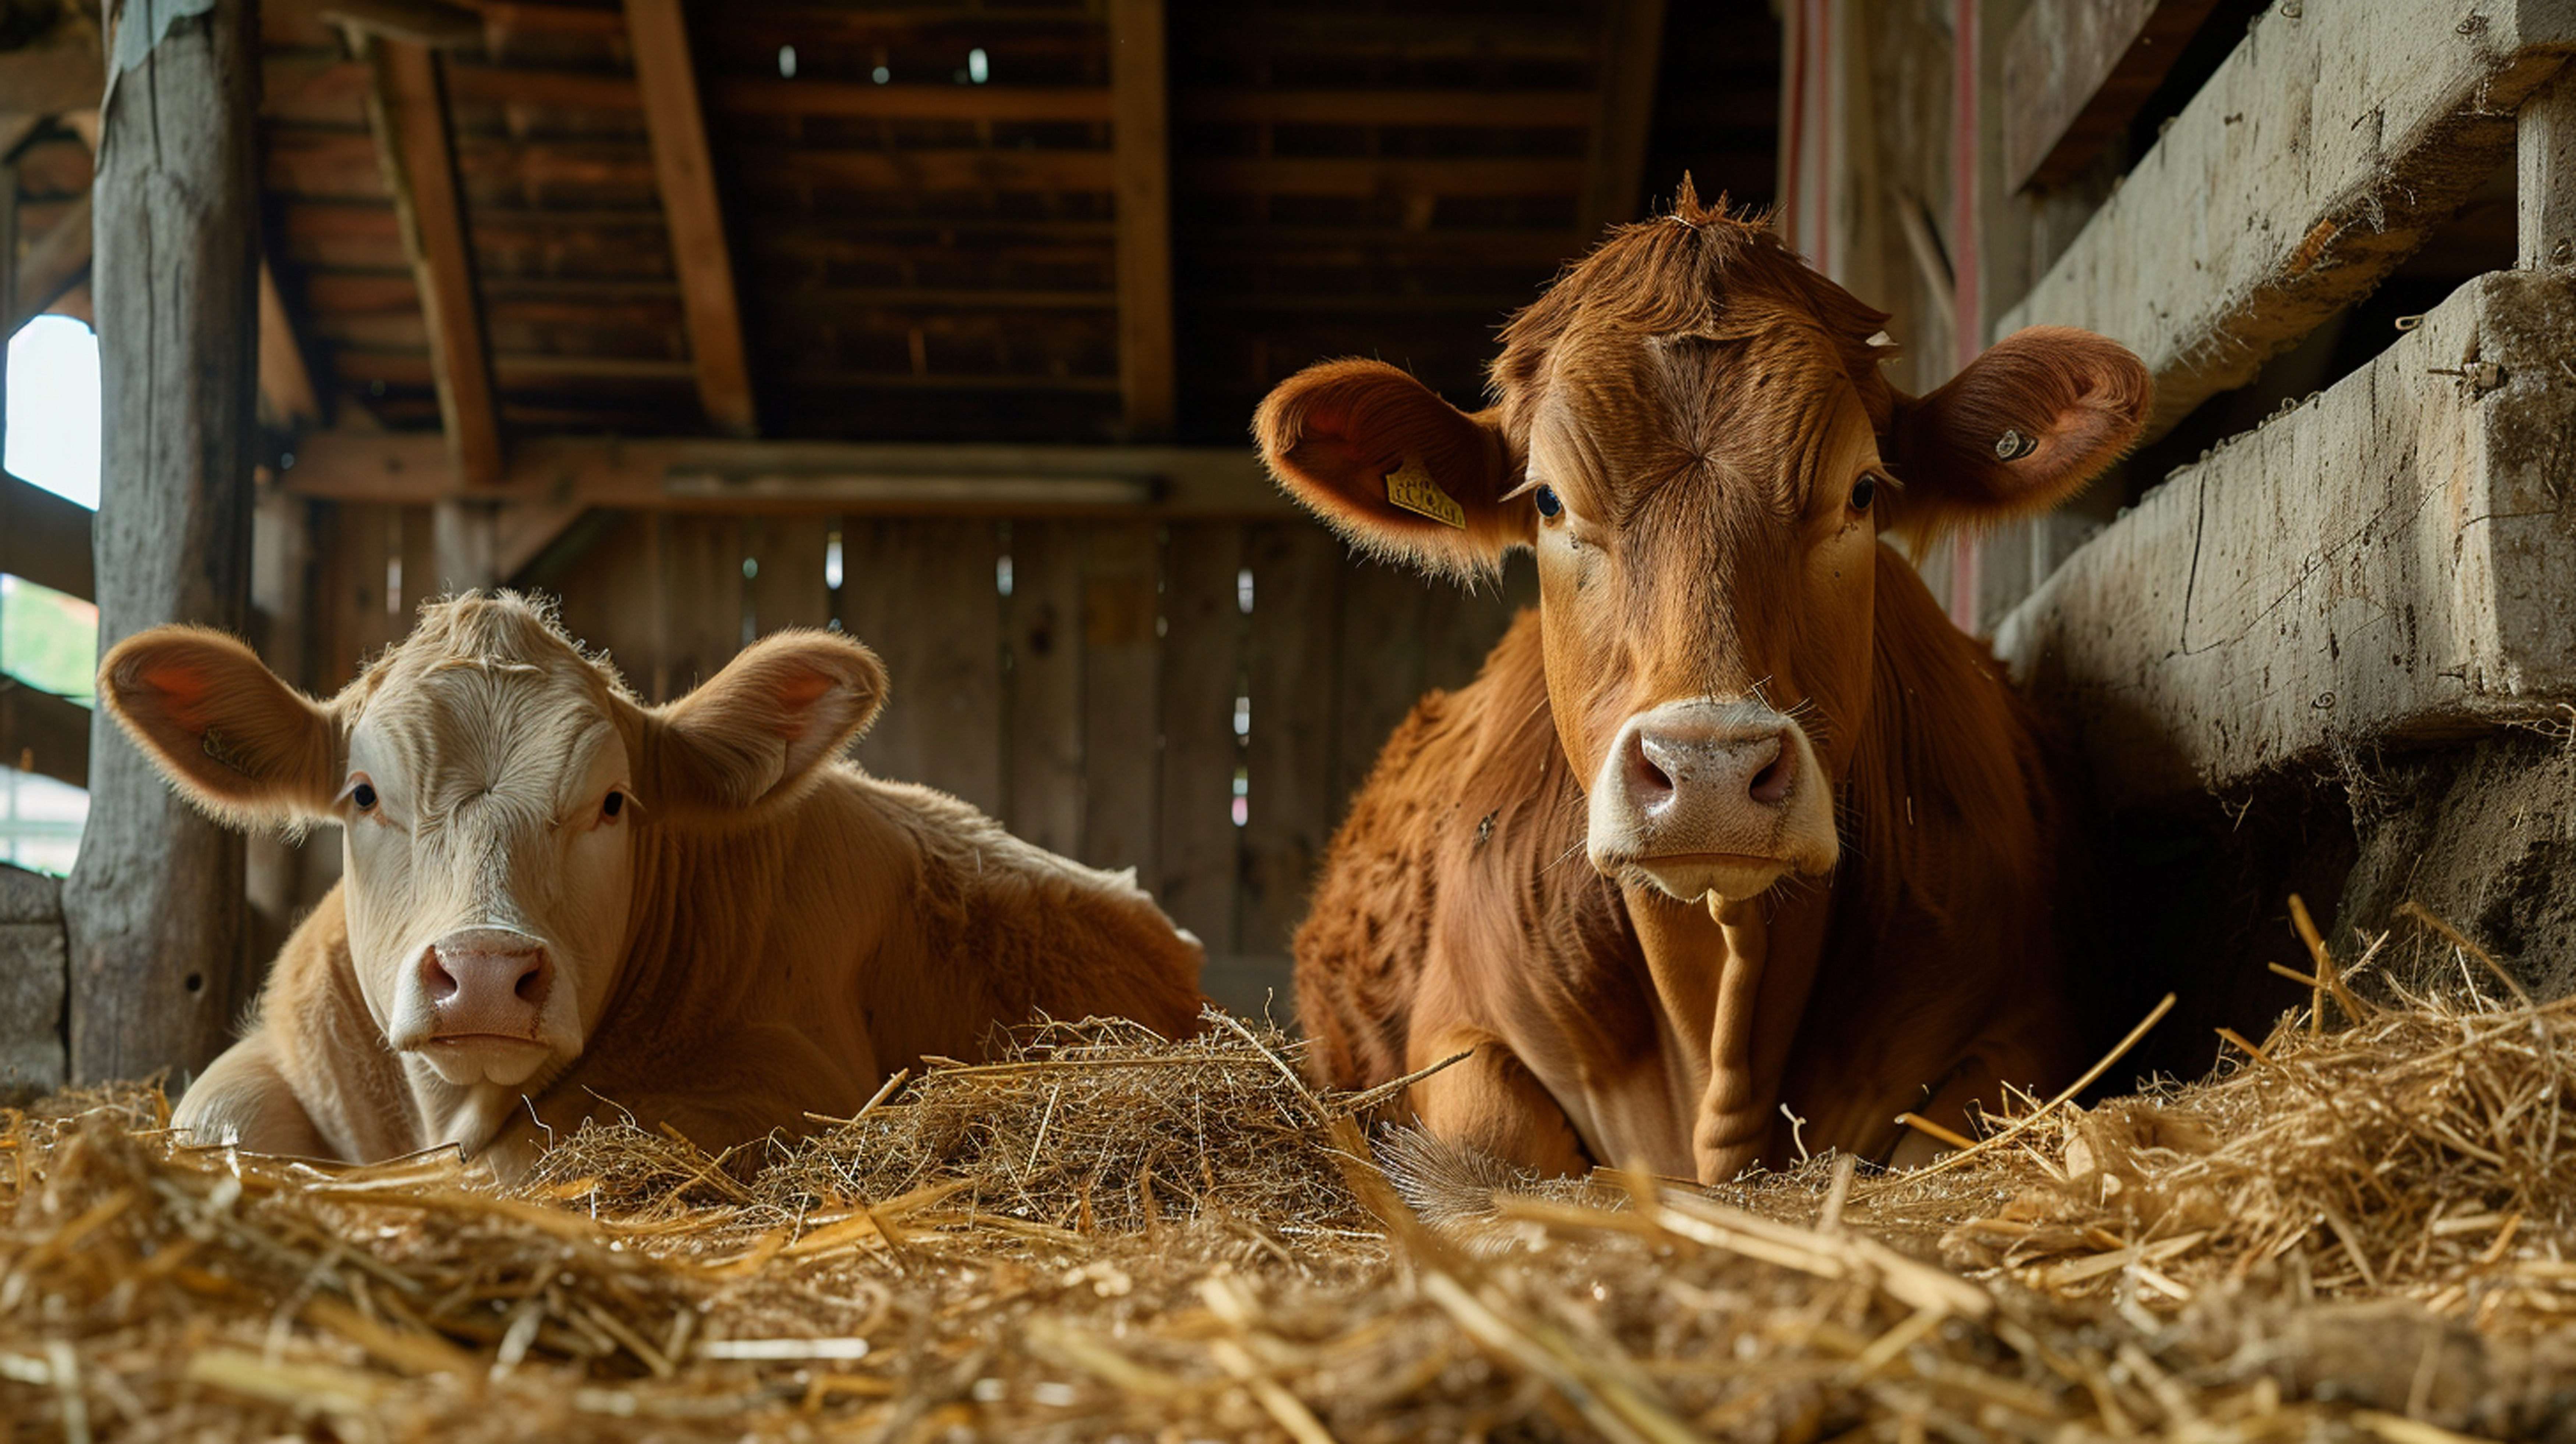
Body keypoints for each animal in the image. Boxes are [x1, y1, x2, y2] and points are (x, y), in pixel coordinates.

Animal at [97, 593, 1205, 1177]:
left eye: (615, 803)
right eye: (364, 794)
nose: (484, 971)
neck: (445, 1111)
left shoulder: (787, 1086)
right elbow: (217, 1118)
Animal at [1256, 186, 2147, 1183]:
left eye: (1862, 491)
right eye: (1548, 500)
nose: (1709, 772)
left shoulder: (2022, 1032)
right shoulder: (1458, 1033)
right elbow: (1491, 1139)